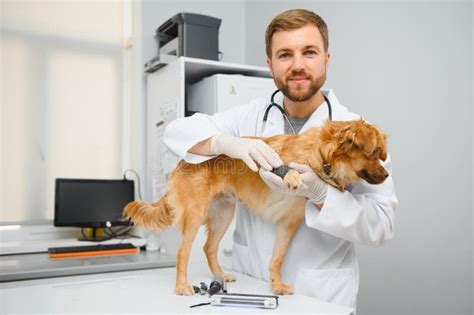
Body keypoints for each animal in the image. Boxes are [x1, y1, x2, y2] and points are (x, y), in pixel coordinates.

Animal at [122, 118, 388, 296]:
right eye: (374, 152)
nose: (386, 175)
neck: (321, 156)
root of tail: (182, 161)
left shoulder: (289, 223)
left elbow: (277, 258)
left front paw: (276, 285)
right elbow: (284, 168)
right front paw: (292, 175)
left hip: (224, 214)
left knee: (209, 248)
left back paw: (220, 275)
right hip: (195, 214)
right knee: (182, 252)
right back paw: (181, 286)